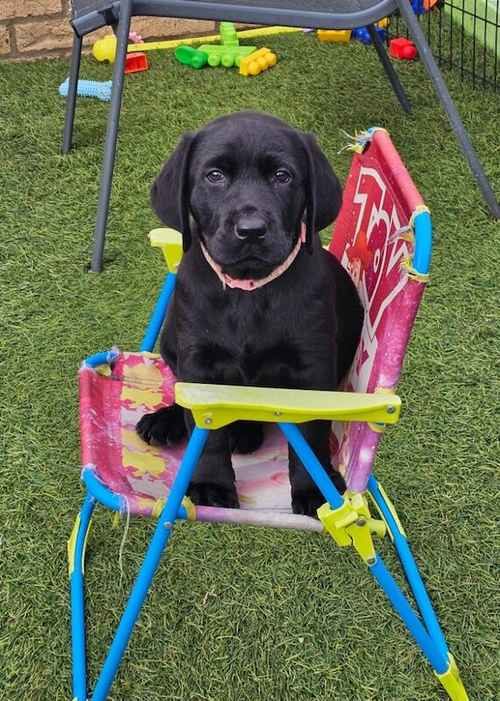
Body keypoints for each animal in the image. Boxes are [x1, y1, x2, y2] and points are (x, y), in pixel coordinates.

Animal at [137, 112, 364, 516]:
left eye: (282, 176)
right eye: (214, 175)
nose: (252, 230)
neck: (250, 290)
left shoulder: (312, 369)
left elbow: (310, 437)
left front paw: (313, 490)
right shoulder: (200, 366)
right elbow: (206, 432)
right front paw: (211, 484)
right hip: (170, 340)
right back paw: (167, 421)